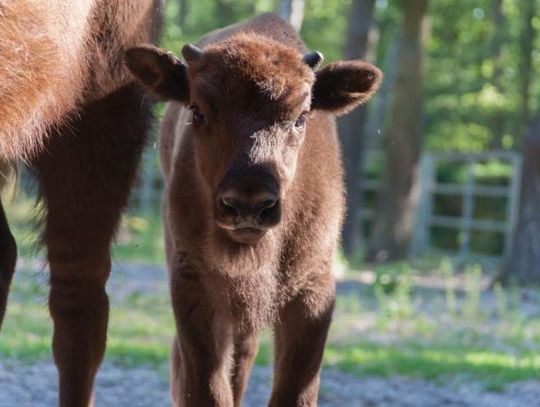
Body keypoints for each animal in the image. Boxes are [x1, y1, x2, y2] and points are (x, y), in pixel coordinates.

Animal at [125, 13, 382, 407]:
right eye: (198, 111)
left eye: (301, 116)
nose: (249, 203)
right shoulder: (193, 283)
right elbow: (207, 386)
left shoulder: (313, 289)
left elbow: (295, 387)